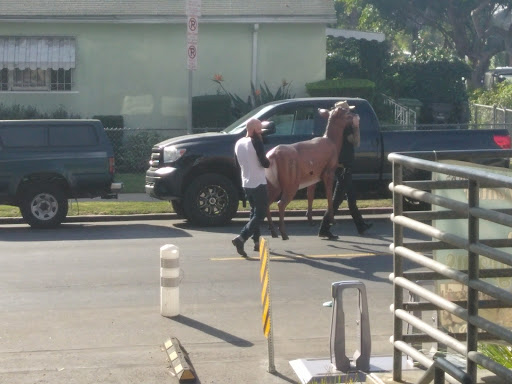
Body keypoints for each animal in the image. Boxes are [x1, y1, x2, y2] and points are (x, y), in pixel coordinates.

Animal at [266, 105, 354, 240]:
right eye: (347, 112)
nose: (355, 114)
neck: (332, 142)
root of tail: (271, 156)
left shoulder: (313, 178)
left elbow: (310, 195)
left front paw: (310, 220)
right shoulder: (328, 172)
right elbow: (329, 195)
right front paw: (332, 220)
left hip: (274, 184)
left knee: (265, 203)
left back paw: (273, 232)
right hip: (291, 182)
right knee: (280, 203)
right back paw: (284, 234)